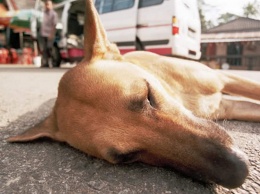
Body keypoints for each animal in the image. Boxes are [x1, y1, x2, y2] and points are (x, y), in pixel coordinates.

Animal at [7, 0, 260, 189]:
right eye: (127, 156)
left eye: (147, 95)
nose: (239, 172)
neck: (182, 96)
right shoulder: (229, 106)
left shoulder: (224, 78)